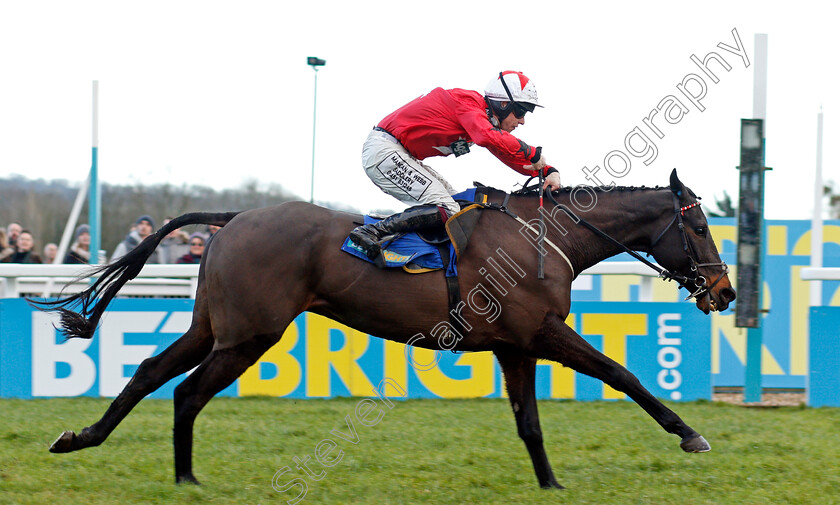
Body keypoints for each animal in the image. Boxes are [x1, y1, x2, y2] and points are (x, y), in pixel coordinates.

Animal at [37, 169, 736, 488]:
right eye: (701, 227)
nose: (726, 292)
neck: (547, 237)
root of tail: (233, 218)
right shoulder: (542, 335)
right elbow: (622, 373)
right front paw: (690, 434)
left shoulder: (515, 347)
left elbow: (530, 424)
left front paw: (550, 483)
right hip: (250, 334)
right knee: (187, 391)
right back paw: (184, 479)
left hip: (216, 324)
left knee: (152, 372)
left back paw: (85, 439)